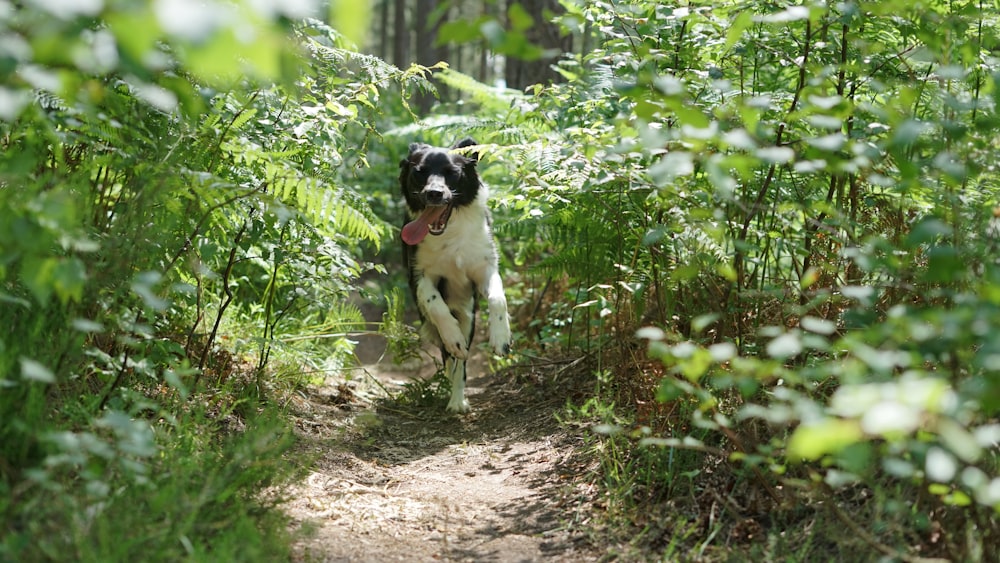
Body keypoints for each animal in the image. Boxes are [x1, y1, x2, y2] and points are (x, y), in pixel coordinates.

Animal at [398, 139, 512, 412]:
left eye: (452, 172)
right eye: (419, 172)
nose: (434, 193)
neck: (449, 234)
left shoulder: (484, 268)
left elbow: (497, 299)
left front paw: (501, 338)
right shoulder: (419, 276)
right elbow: (436, 305)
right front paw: (453, 338)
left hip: (468, 314)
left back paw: (458, 400)